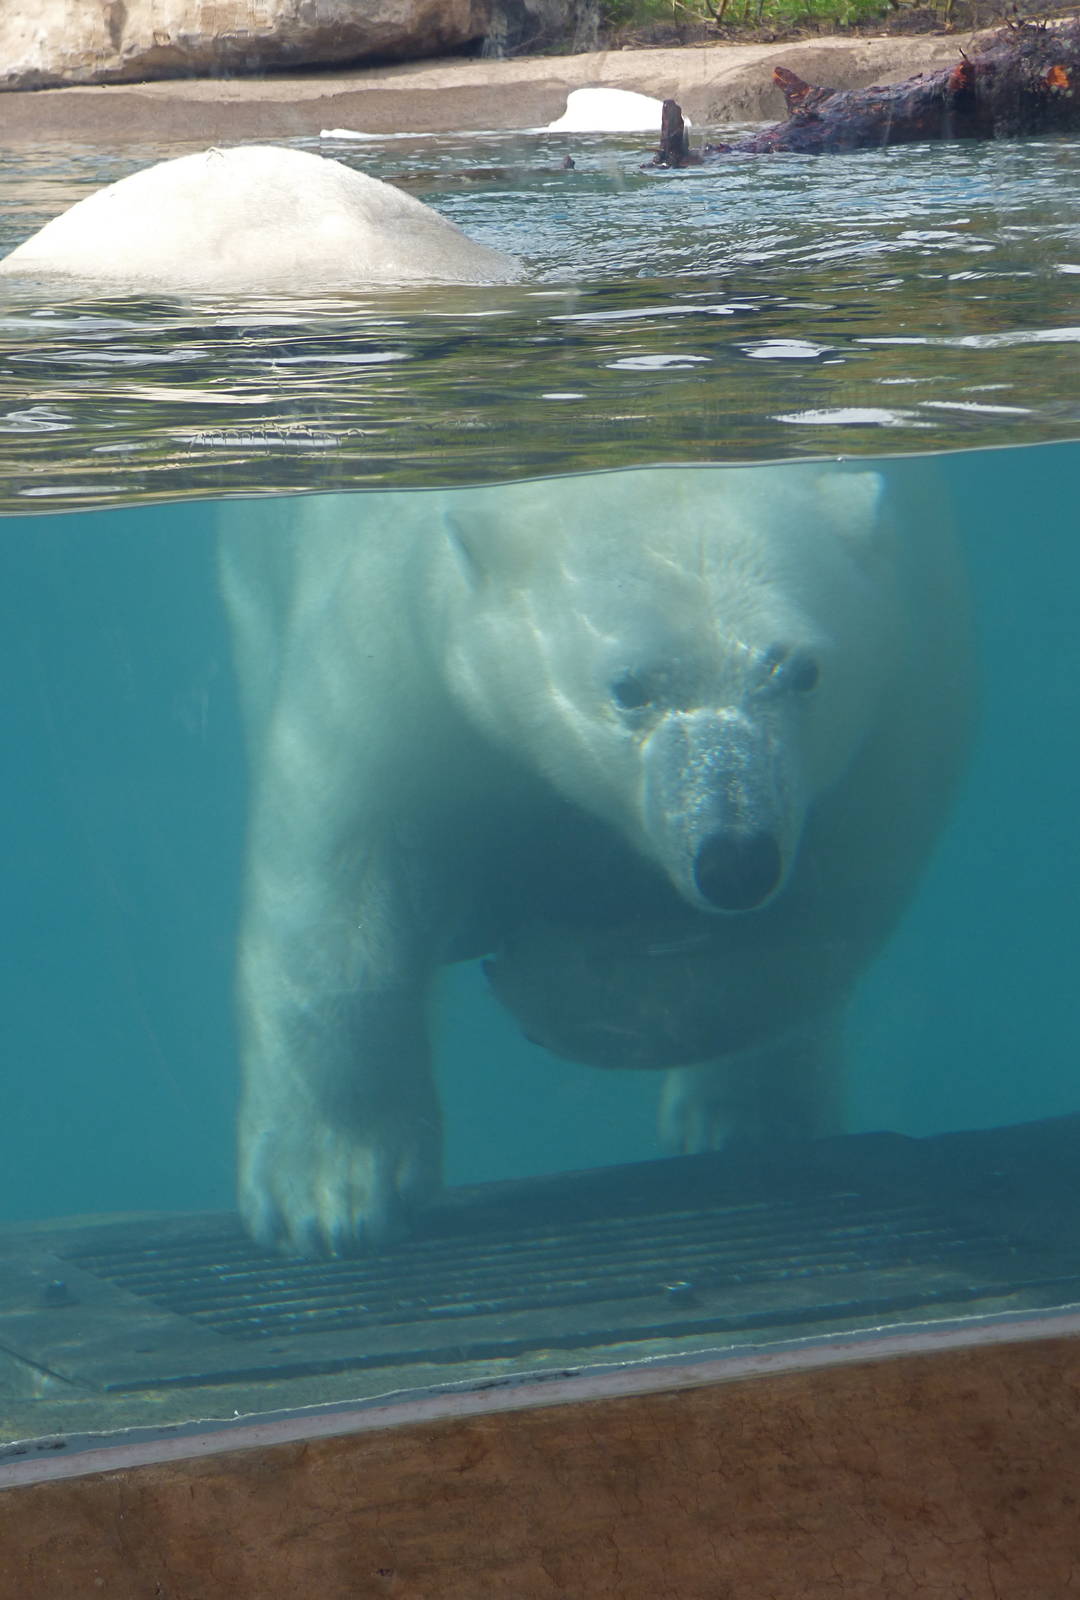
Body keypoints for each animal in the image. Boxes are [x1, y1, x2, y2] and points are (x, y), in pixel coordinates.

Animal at [218, 463, 973, 1256]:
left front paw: (556, 983)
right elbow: (340, 890)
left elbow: (823, 914)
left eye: (802, 671)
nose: (735, 857)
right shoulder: (394, 646)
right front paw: (331, 1197)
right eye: (629, 687)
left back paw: (752, 1118)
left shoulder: (904, 674)